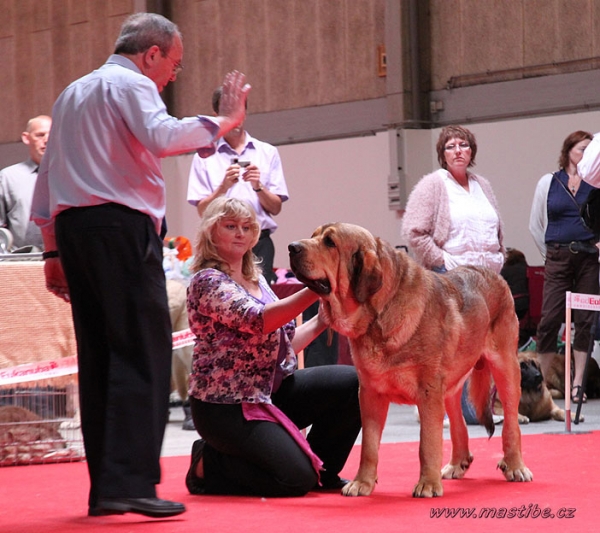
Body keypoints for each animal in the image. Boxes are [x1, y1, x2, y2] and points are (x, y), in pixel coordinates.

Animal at [288, 222, 532, 496]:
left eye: (330, 242)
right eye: (313, 236)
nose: (292, 247)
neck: (379, 314)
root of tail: (491, 273)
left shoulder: (428, 392)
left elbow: (428, 442)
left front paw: (428, 484)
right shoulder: (370, 394)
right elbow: (369, 446)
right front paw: (362, 483)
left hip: (505, 369)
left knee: (511, 423)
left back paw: (515, 466)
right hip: (450, 388)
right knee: (459, 423)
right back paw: (457, 464)